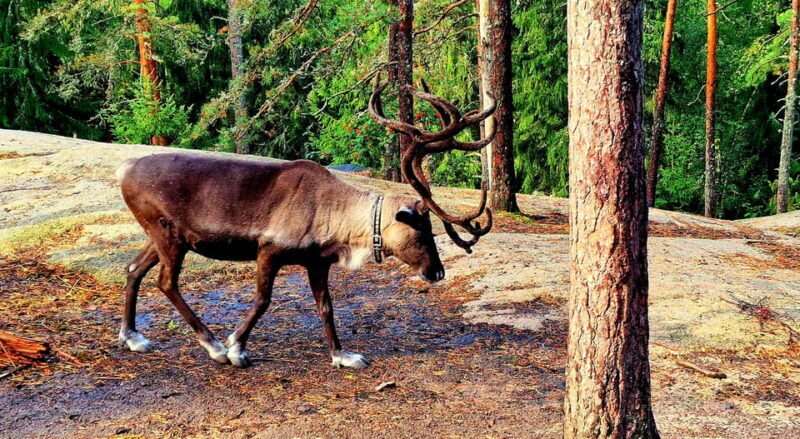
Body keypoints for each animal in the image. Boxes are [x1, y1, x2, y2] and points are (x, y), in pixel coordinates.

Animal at [116, 76, 495, 369]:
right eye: (421, 229)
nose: (438, 272)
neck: (338, 217)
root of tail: (124, 168)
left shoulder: (317, 261)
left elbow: (326, 307)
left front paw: (342, 356)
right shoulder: (268, 251)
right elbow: (263, 300)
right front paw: (237, 347)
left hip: (158, 235)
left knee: (134, 269)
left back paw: (133, 337)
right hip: (170, 236)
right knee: (166, 282)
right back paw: (214, 347)